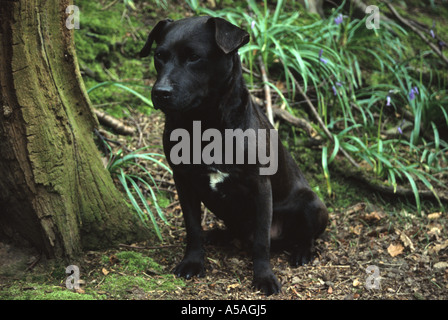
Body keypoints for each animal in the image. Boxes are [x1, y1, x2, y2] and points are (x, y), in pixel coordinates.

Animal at [138, 15, 328, 296]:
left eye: (194, 57)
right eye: (159, 56)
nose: (160, 92)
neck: (204, 124)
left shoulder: (260, 186)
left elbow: (261, 242)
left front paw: (264, 277)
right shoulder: (183, 180)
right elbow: (192, 227)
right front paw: (192, 262)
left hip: (312, 203)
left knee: (305, 236)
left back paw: (303, 251)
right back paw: (217, 234)